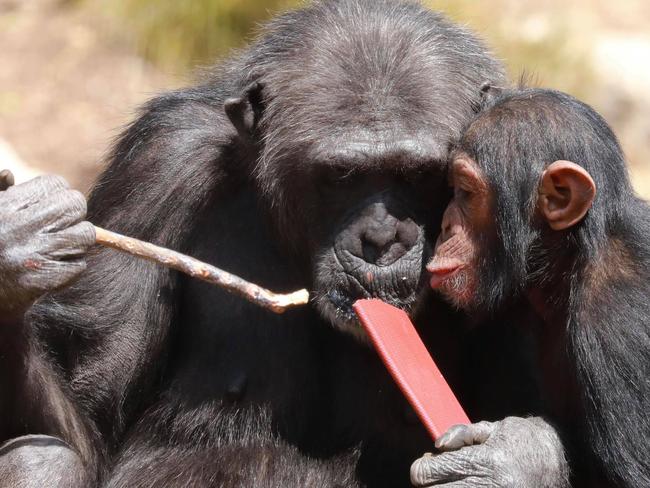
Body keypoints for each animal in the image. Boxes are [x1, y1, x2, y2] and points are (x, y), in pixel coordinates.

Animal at [0, 0, 560, 488]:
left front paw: (512, 461)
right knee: (41, 460)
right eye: (340, 175)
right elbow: (93, 404)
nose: (380, 238)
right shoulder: (157, 164)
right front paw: (16, 255)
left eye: (417, 174)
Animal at [412, 87, 644, 488]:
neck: (566, 266)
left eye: (465, 192)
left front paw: (511, 461)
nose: (444, 226)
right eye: (451, 190)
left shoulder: (619, 323)